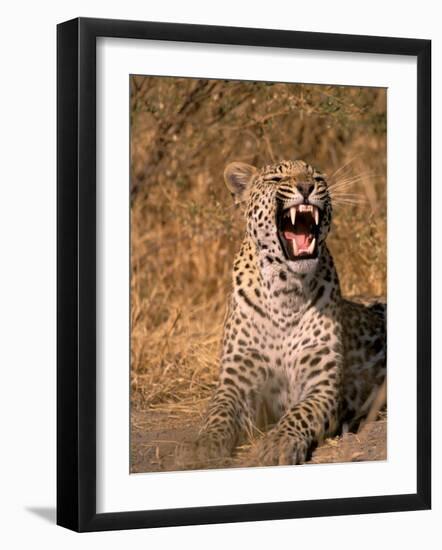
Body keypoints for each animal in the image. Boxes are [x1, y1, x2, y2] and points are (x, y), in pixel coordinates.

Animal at [178, 160, 386, 470]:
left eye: (317, 177)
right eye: (276, 178)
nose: (306, 186)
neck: (285, 290)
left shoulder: (322, 385)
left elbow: (300, 412)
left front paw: (277, 443)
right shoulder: (235, 380)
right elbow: (218, 412)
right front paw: (204, 446)